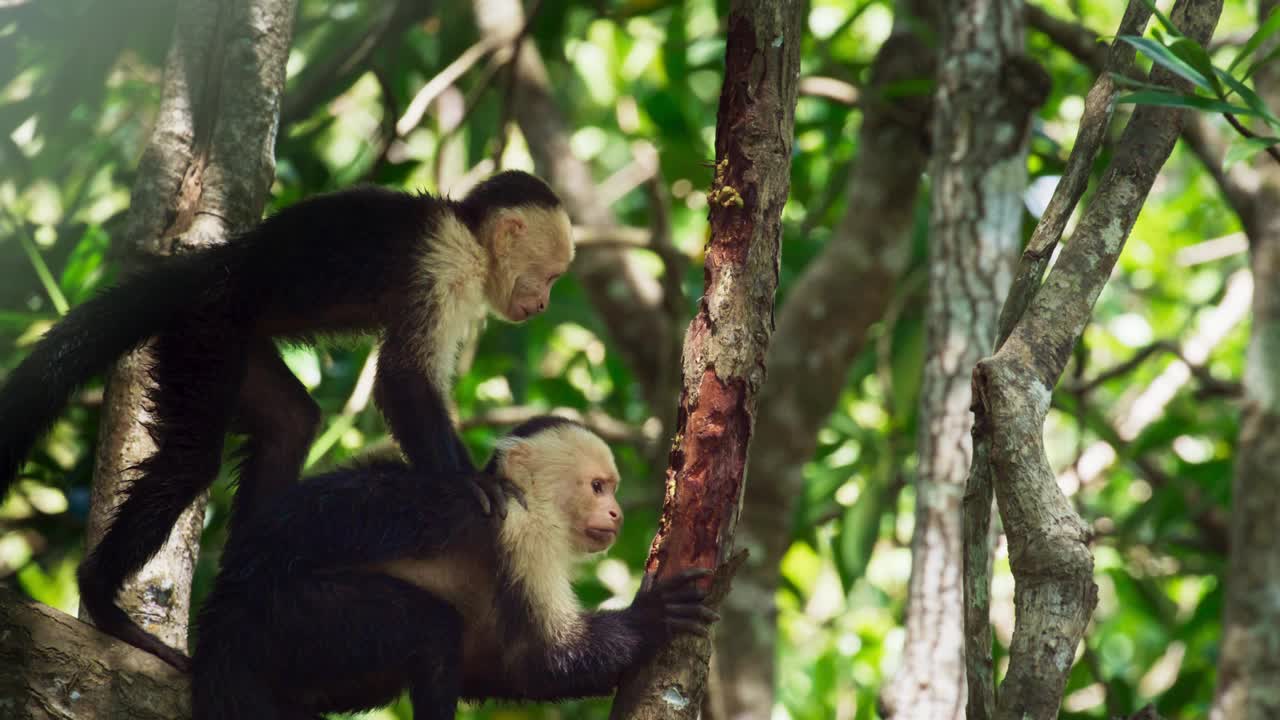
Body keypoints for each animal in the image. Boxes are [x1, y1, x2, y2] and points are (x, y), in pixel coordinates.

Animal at [0, 167, 576, 666]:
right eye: (550, 276)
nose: (546, 304)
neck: (471, 237)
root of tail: (212, 266)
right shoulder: (444, 262)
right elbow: (404, 379)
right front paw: (471, 485)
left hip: (234, 340)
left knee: (292, 422)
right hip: (206, 325)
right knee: (189, 464)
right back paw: (103, 599)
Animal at [190, 415, 721, 717]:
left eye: (611, 490)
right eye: (597, 487)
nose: (616, 514)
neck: (524, 499)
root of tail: (226, 602)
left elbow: (512, 665)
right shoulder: (524, 532)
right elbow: (548, 657)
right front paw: (653, 616)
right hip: (292, 612)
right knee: (431, 626)